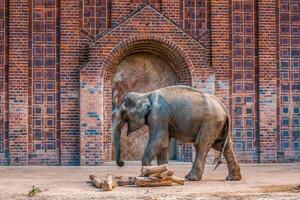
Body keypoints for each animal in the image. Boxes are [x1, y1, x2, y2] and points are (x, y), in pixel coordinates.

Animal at [112, 85, 241, 181]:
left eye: (123, 112)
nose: (121, 163)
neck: (145, 94)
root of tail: (224, 108)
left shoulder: (158, 116)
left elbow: (158, 140)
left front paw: (144, 175)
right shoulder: (163, 119)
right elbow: (163, 143)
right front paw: (164, 173)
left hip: (210, 123)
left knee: (202, 145)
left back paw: (190, 178)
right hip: (218, 125)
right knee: (223, 145)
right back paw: (233, 178)